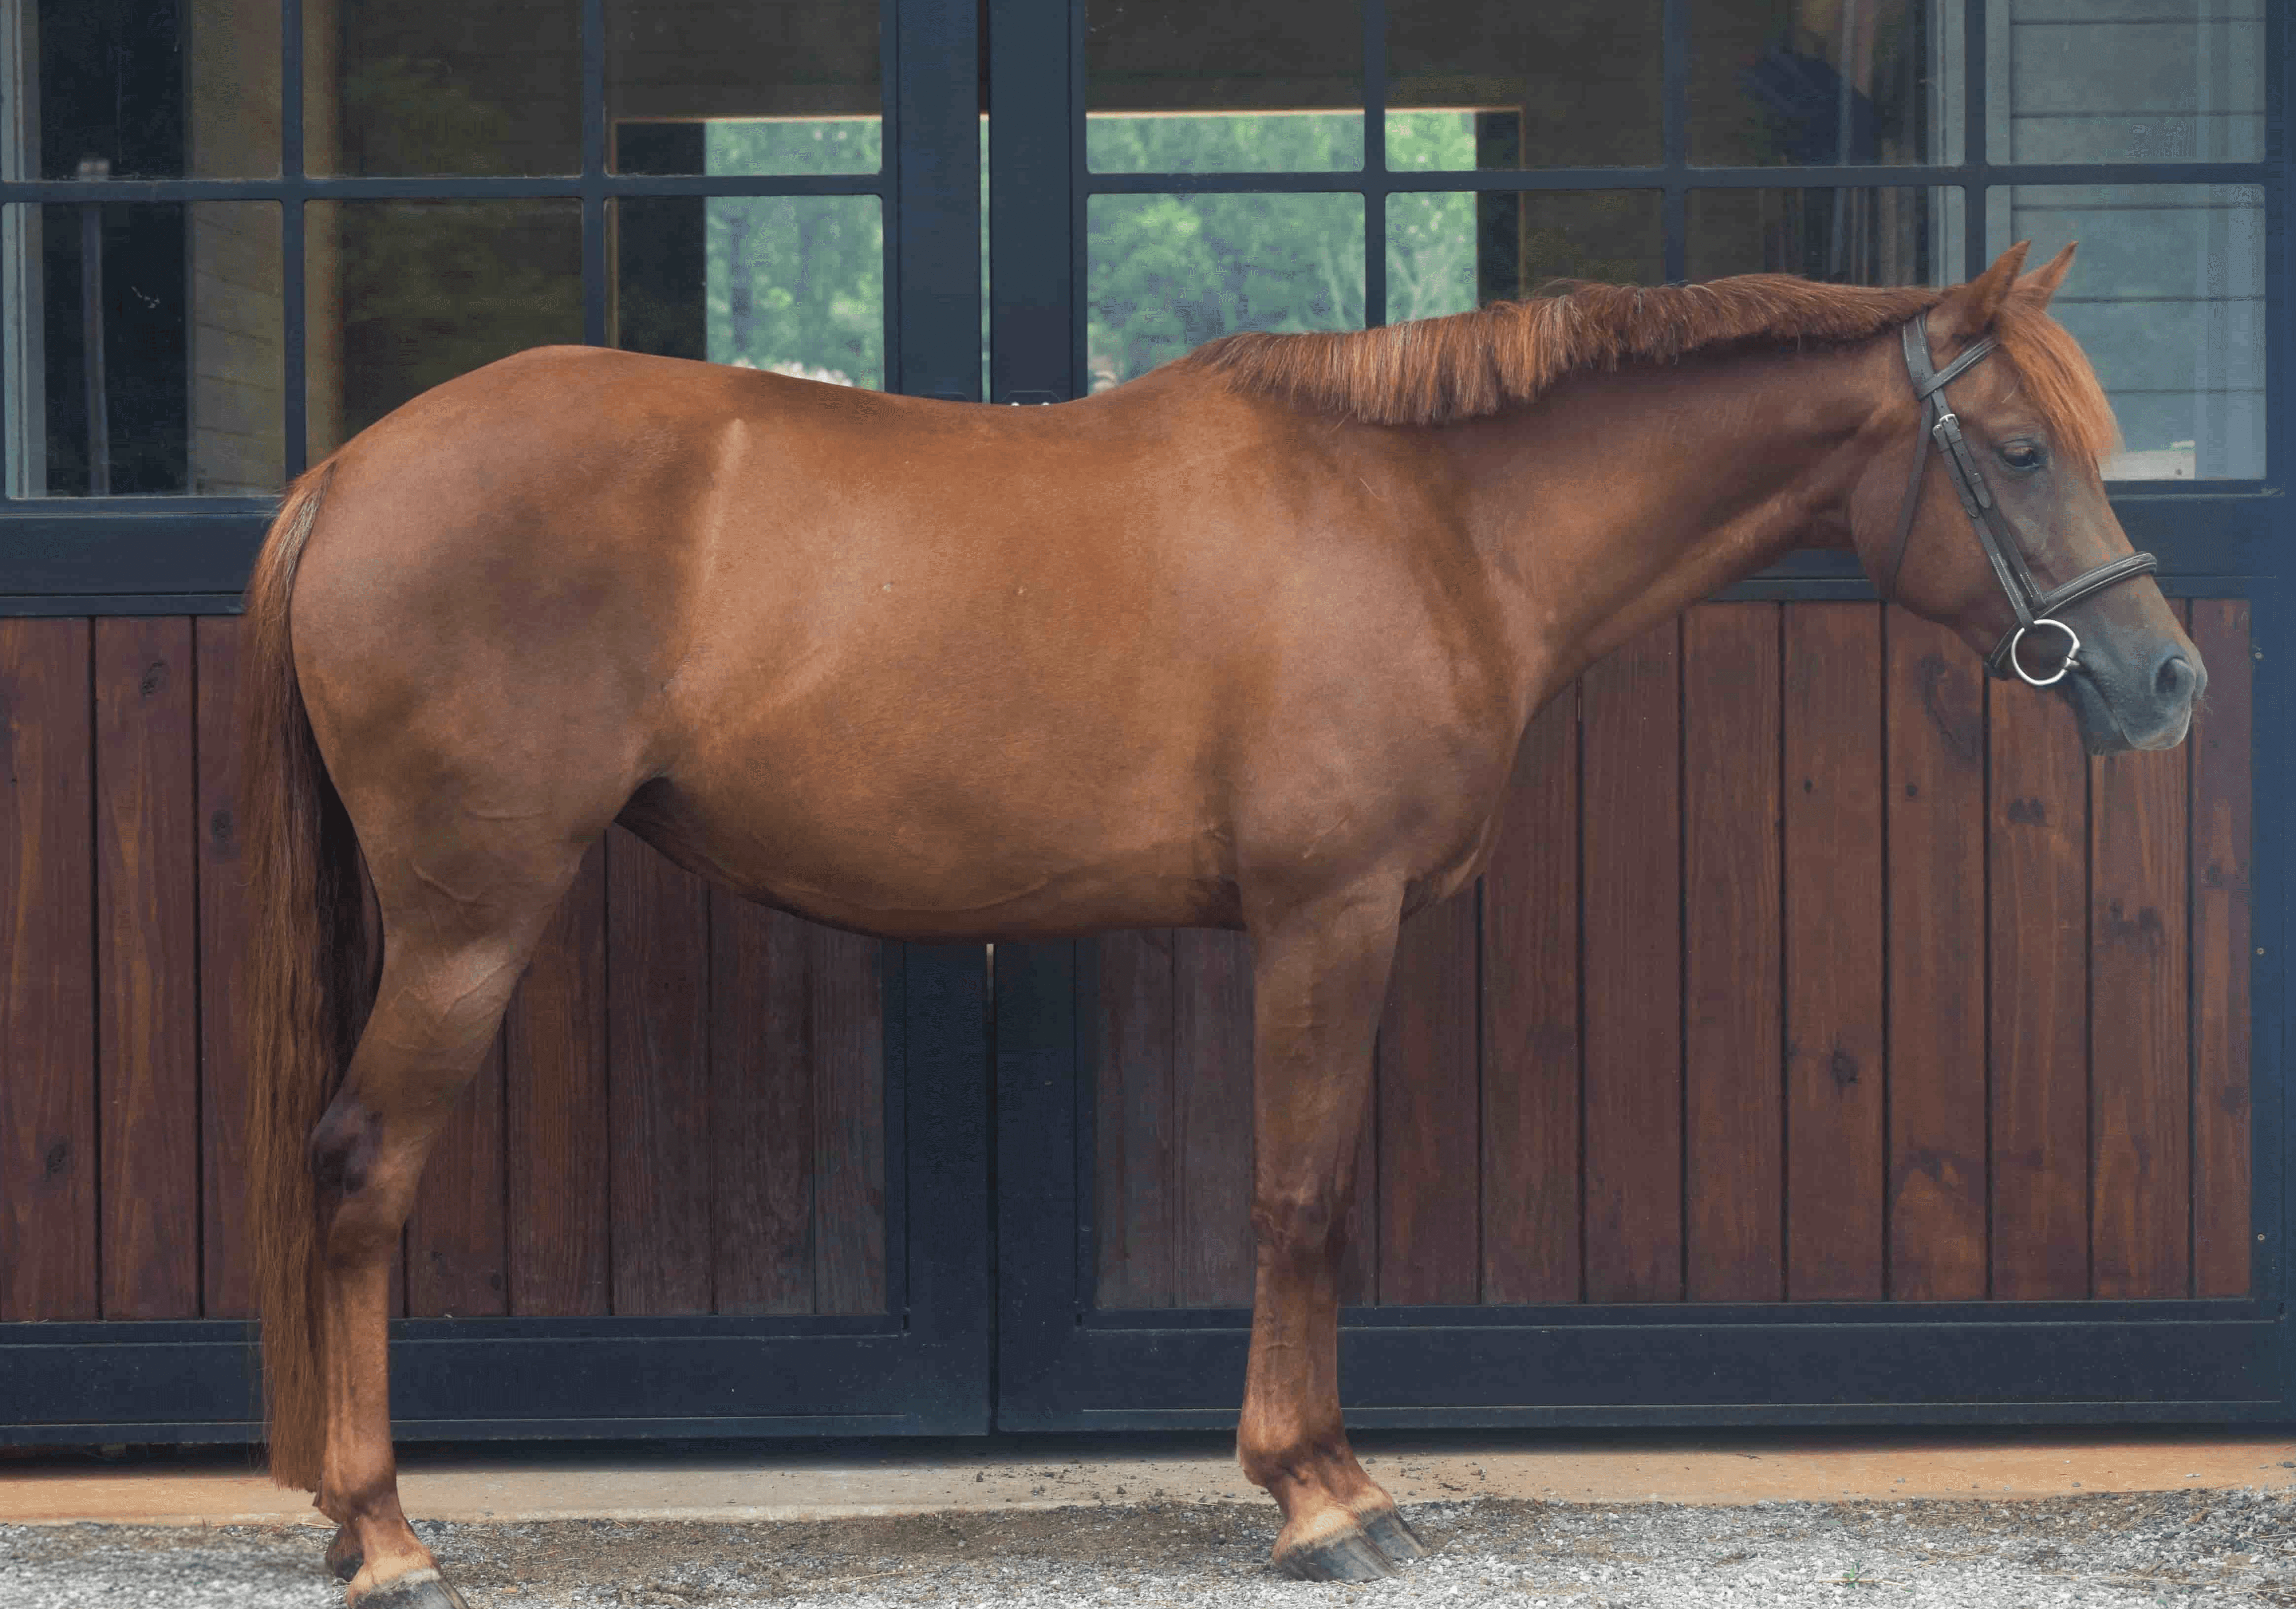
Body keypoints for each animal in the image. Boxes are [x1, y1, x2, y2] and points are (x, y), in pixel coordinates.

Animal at [241, 241, 2201, 1605]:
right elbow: (1299, 1195)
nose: (2164, 679)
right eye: (2018, 449)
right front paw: (1317, 1498)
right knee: (359, 1168)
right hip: (472, 919)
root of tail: (348, 473)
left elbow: (1308, 1201)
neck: (1431, 517)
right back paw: (386, 1532)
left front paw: (1331, 1471)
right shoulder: (1327, 916)